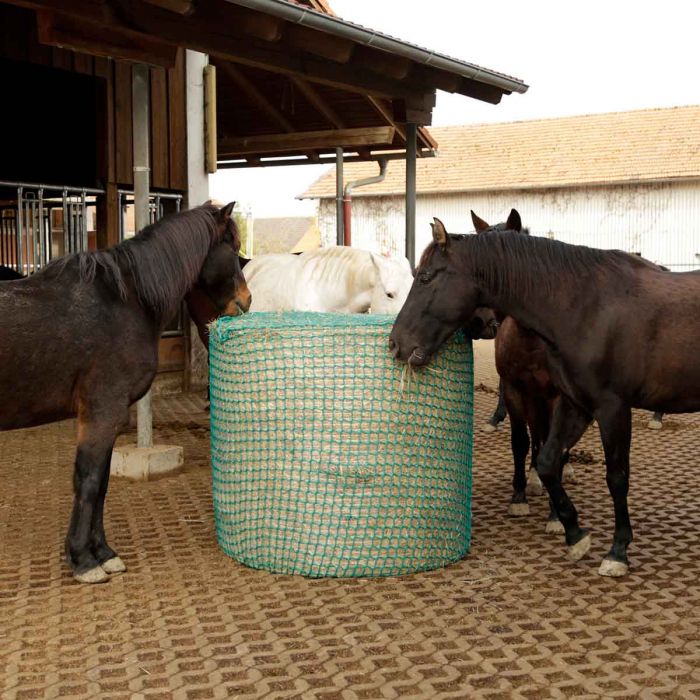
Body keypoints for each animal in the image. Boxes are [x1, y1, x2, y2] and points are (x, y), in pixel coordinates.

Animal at [0, 202, 252, 584]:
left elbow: (102, 483)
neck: (127, 301)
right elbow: (89, 482)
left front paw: (103, 553)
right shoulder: (102, 414)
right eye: (233, 247)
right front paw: (83, 560)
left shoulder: (107, 420)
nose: (246, 301)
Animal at [388, 217, 700, 576]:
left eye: (425, 277)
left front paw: (618, 550)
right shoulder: (576, 404)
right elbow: (548, 461)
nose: (395, 343)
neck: (587, 308)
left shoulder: (613, 409)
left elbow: (617, 477)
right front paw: (574, 533)